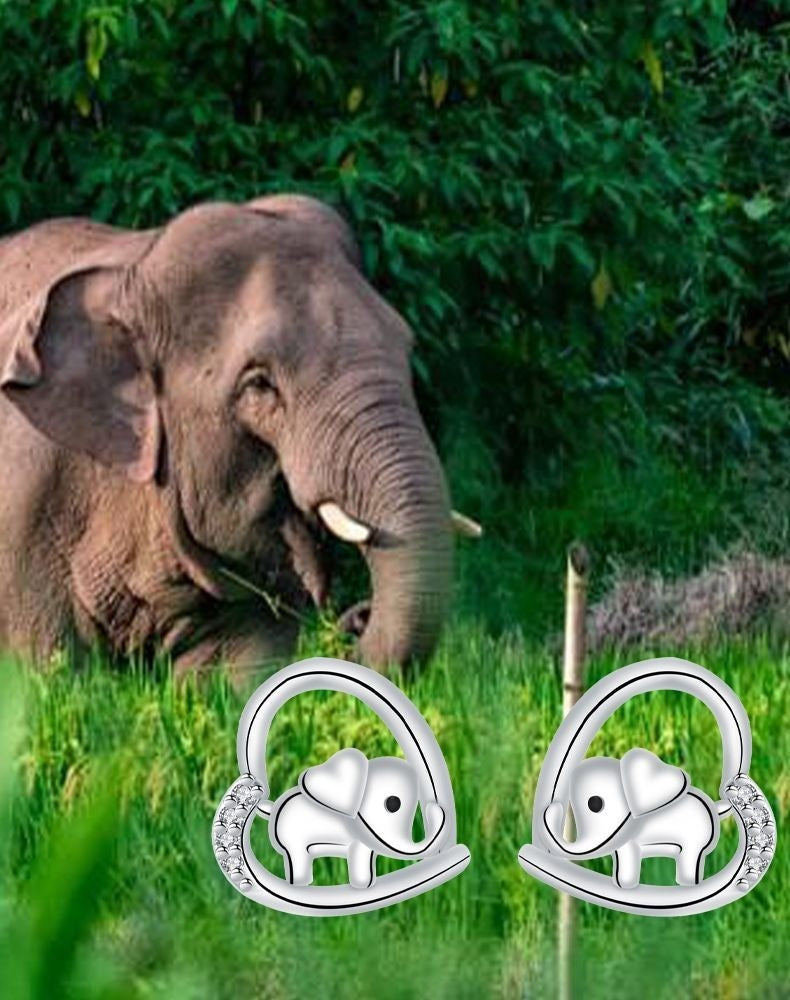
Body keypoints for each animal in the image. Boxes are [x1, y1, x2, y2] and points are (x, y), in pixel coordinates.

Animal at [0, 195, 473, 675]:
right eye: (260, 384)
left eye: (406, 348)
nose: (357, 616)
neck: (134, 272)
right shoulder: (24, 505)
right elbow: (48, 668)